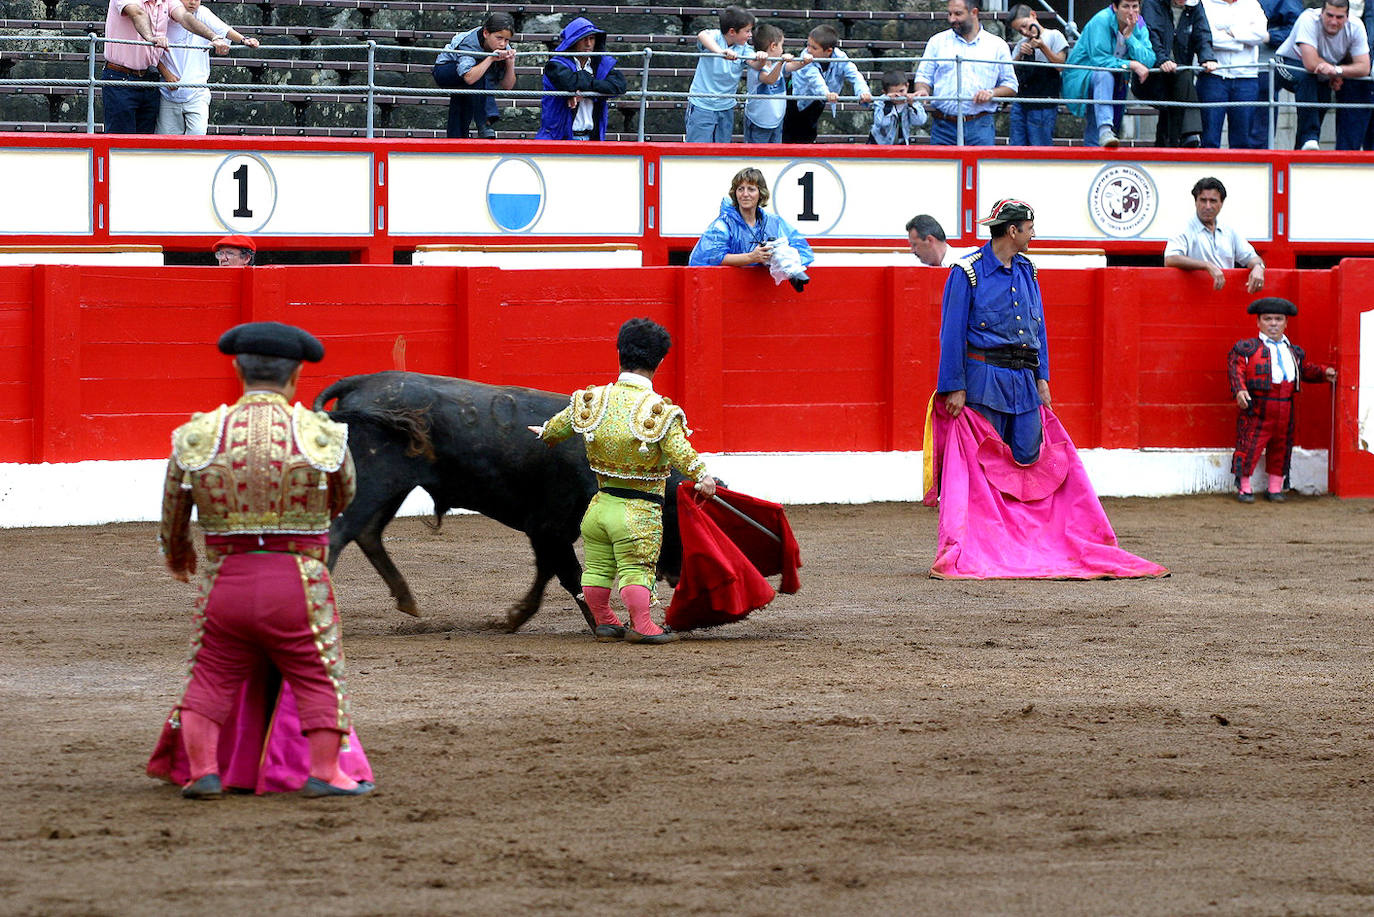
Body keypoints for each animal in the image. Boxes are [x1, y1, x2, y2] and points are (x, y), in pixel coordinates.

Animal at [313, 373, 687, 632]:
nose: (676, 574)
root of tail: (362, 382)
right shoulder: (548, 527)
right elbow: (569, 574)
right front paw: (601, 625)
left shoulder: (550, 532)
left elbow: (548, 573)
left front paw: (513, 618)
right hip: (373, 480)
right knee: (341, 532)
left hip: (394, 486)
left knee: (367, 532)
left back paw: (406, 601)